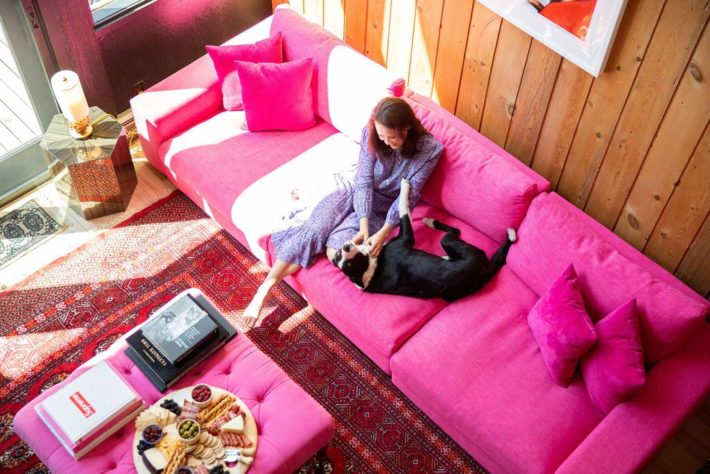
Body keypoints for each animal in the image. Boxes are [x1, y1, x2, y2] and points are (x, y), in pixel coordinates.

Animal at [334, 180, 516, 302]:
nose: (345, 246)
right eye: (348, 263)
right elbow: (403, 209)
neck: (369, 268)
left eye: (338, 256)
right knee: (455, 232)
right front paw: (405, 185)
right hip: (448, 242)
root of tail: (484, 273)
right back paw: (431, 222)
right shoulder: (407, 238)